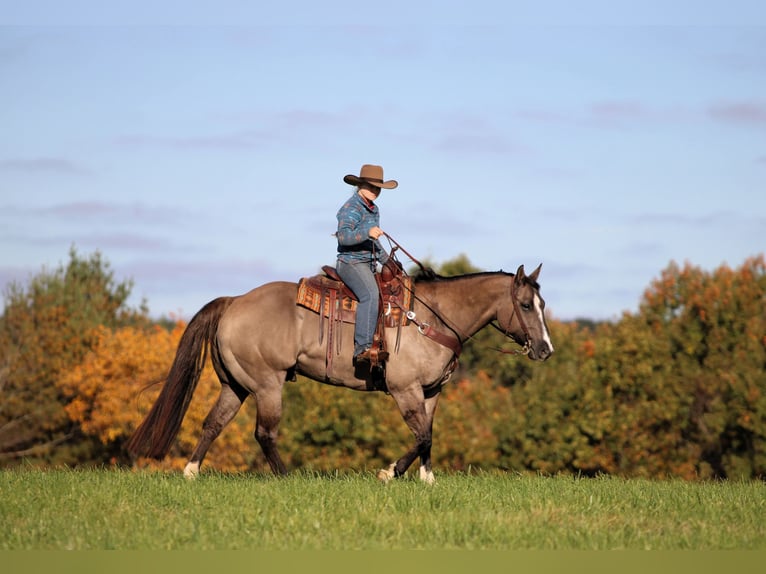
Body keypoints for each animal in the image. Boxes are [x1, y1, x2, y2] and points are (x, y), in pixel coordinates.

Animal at [126, 263, 554, 483]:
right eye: (525, 305)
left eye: (542, 302)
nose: (546, 349)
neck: (429, 318)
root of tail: (233, 302)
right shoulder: (405, 390)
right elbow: (421, 436)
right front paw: (389, 472)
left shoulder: (431, 392)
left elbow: (428, 436)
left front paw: (426, 478)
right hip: (267, 384)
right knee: (264, 433)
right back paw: (288, 477)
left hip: (236, 385)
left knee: (213, 423)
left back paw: (191, 471)